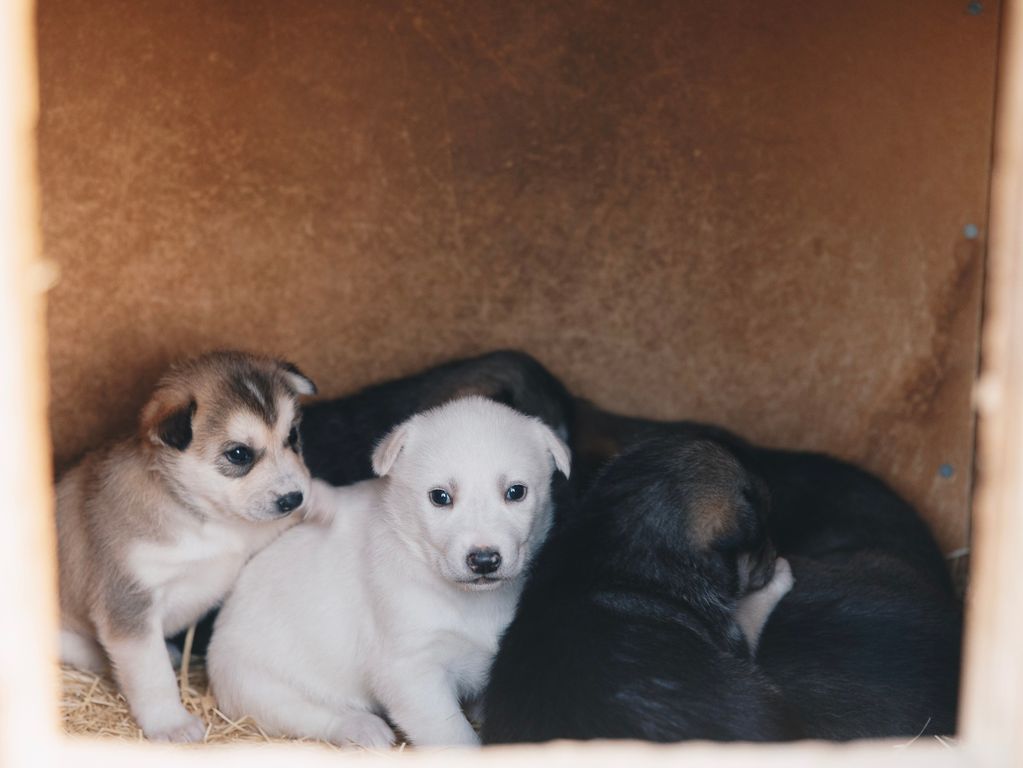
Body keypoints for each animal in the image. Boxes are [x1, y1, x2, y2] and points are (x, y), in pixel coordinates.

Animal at [56, 351, 315, 740]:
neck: (201, 518)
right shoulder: (129, 603)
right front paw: (171, 723)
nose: (294, 498)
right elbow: (152, 676)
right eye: (239, 454)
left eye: (293, 436)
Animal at [203, 398, 572, 748]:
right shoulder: (409, 669)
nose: (484, 560)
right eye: (440, 497)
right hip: (257, 687)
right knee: (310, 714)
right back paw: (363, 728)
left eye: (516, 492)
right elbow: (455, 736)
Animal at [482, 437, 802, 744]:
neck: (615, 539)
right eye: (761, 540)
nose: (773, 551)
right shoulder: (734, 635)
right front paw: (781, 574)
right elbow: (750, 612)